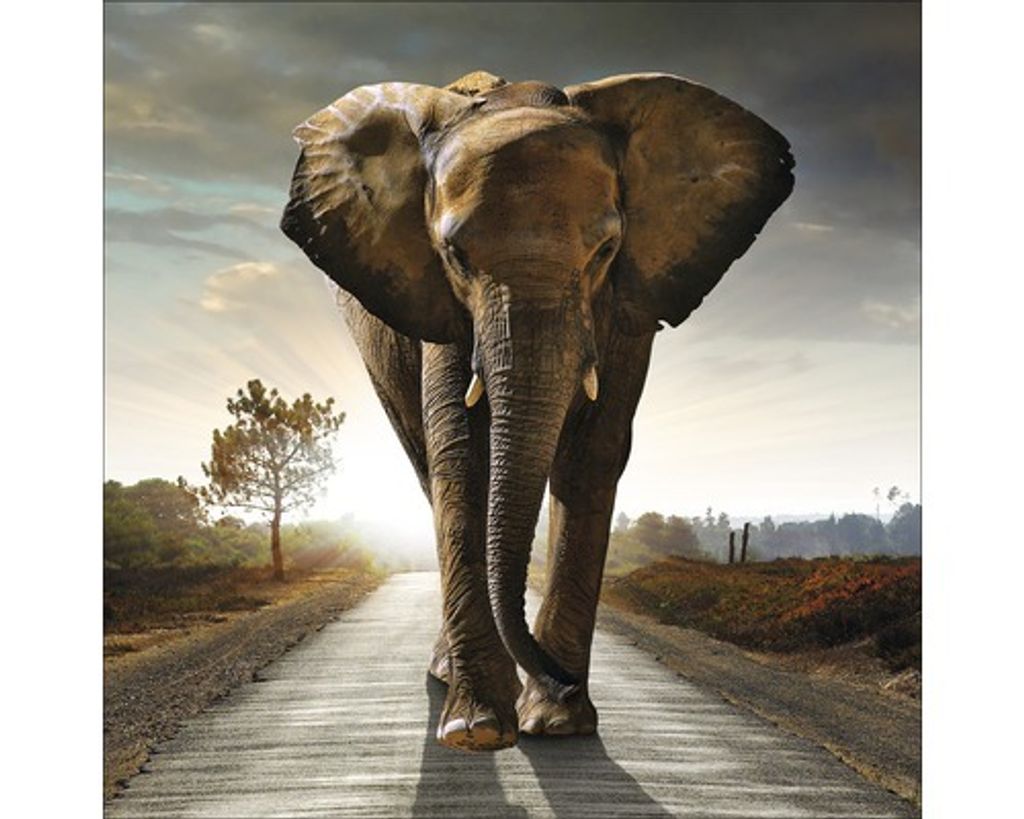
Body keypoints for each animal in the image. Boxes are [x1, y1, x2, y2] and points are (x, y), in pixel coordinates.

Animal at [281, 70, 793, 751]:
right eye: (455, 255)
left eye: (606, 250)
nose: (562, 681)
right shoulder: (441, 307)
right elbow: (462, 455)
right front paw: (477, 730)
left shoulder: (629, 303)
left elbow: (593, 455)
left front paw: (557, 723)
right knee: (426, 466)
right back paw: (450, 680)